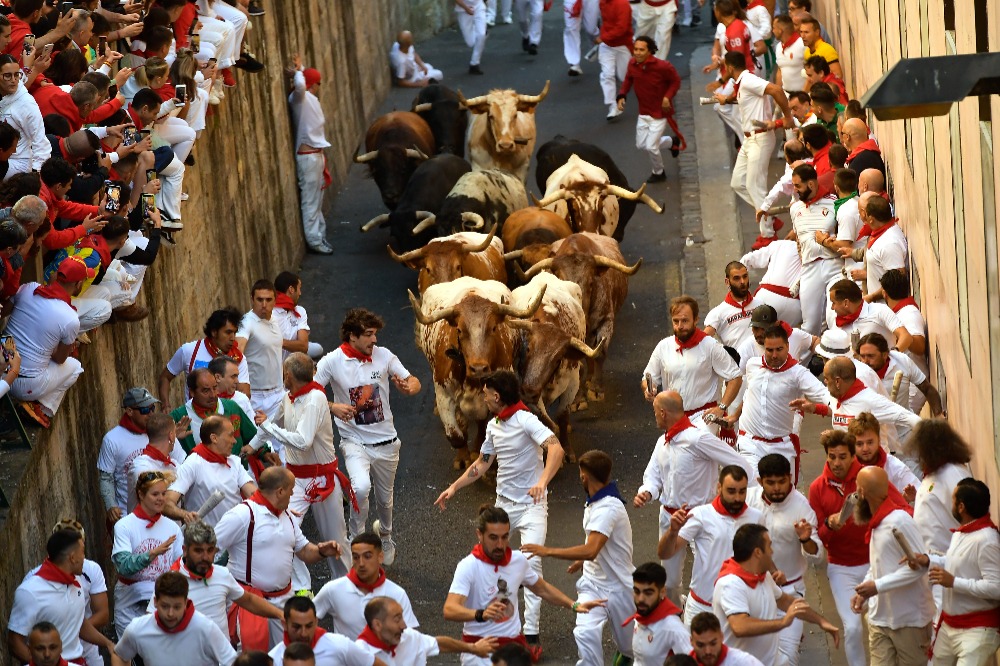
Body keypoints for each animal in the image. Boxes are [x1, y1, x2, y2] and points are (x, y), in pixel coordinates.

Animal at [408, 274, 544, 466]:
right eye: (458, 329)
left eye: (493, 328)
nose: (479, 368)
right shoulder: (444, 395)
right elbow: (456, 436)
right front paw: (463, 457)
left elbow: (485, 428)